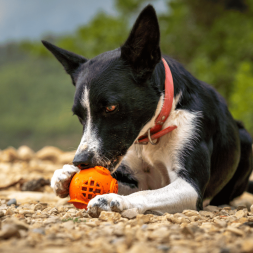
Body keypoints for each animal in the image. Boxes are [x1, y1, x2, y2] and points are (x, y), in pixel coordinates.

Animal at [42, 4, 252, 216]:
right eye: (79, 116)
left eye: (111, 107)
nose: (81, 161)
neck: (153, 132)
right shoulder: (136, 178)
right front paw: (64, 175)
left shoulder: (190, 186)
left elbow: (145, 194)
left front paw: (112, 199)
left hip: (245, 140)